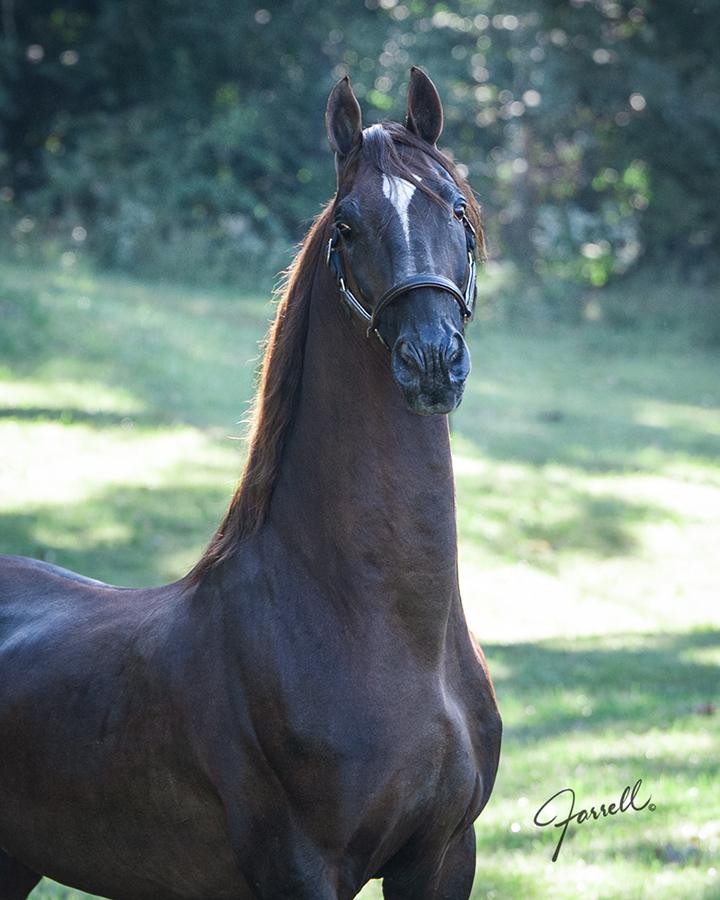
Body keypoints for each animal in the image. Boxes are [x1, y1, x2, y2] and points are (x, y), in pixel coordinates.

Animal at [1, 70, 500, 900]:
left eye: (456, 208)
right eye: (348, 228)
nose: (432, 359)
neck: (387, 636)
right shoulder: (300, 866)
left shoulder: (443, 856)